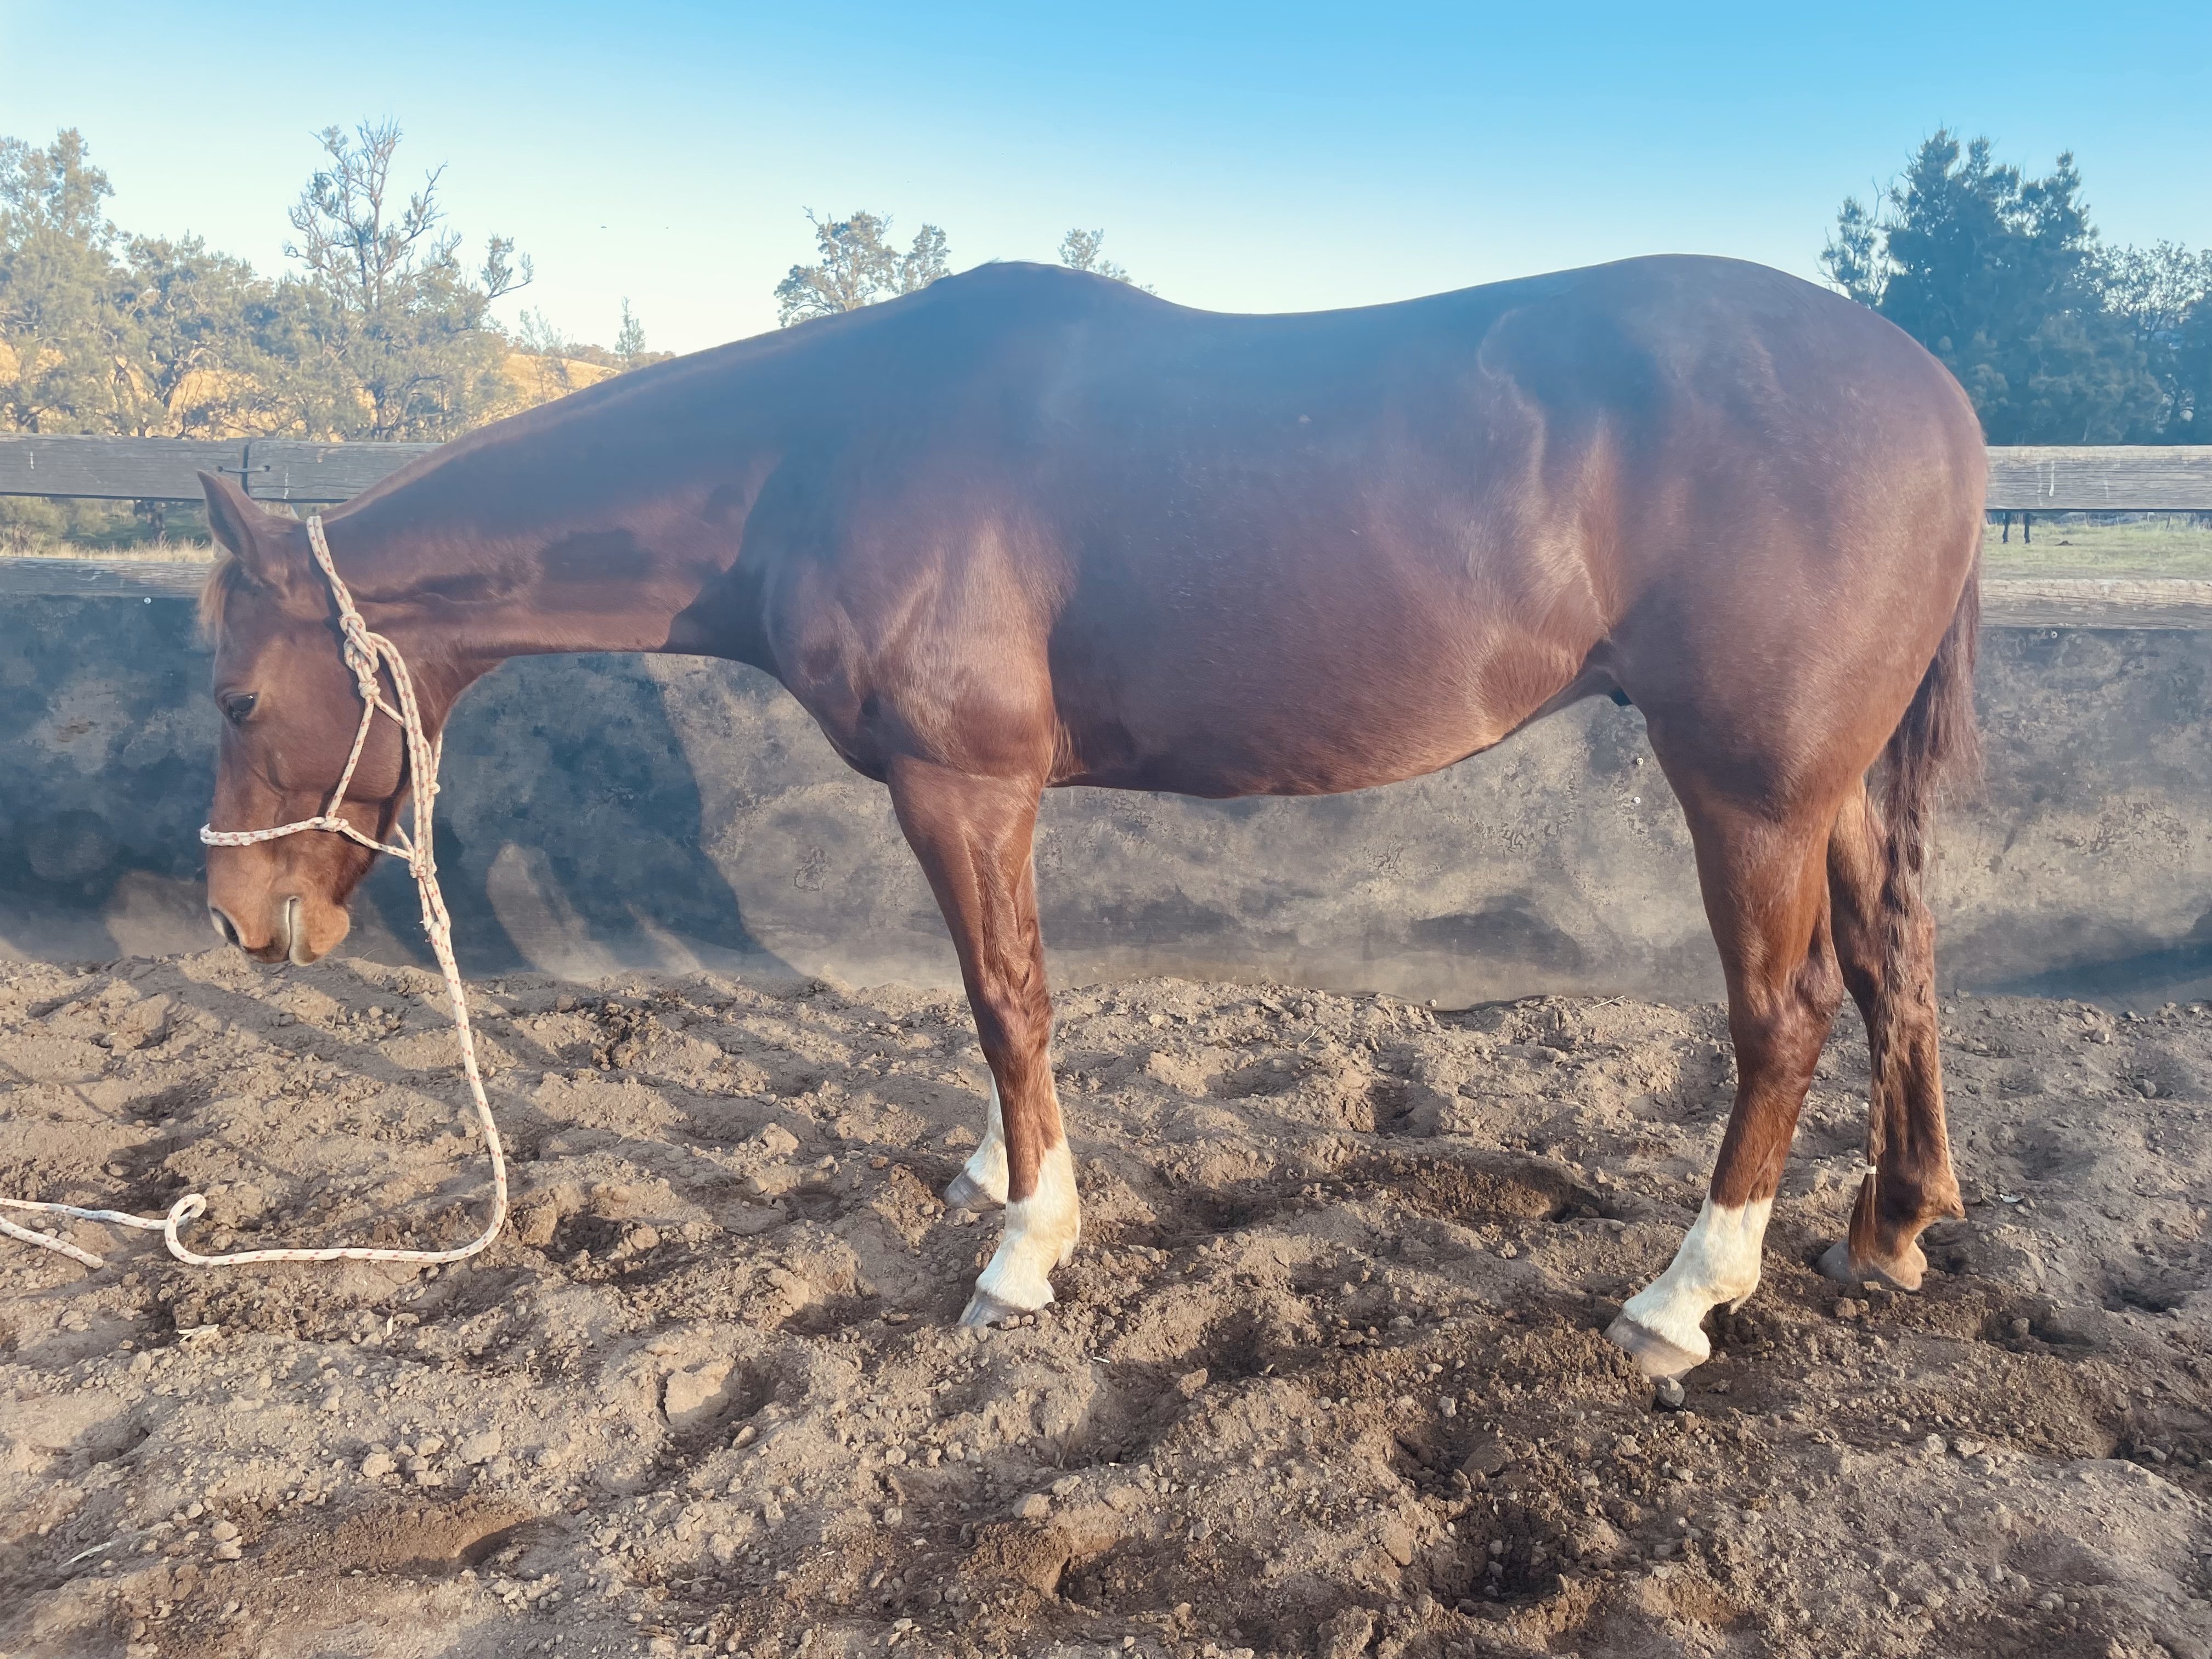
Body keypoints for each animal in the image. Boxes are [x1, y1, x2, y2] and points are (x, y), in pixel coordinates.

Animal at [196, 254, 1982, 1375]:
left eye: (232, 700)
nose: (239, 920)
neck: (818, 455)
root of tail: (1937, 403)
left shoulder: (965, 786)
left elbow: (1008, 997)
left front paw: (1024, 1251)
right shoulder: (986, 801)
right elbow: (1001, 1005)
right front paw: (997, 1175)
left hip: (1748, 790)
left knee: (1790, 1011)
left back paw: (1684, 1299)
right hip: (1827, 791)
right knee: (1899, 968)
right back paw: (1890, 1228)